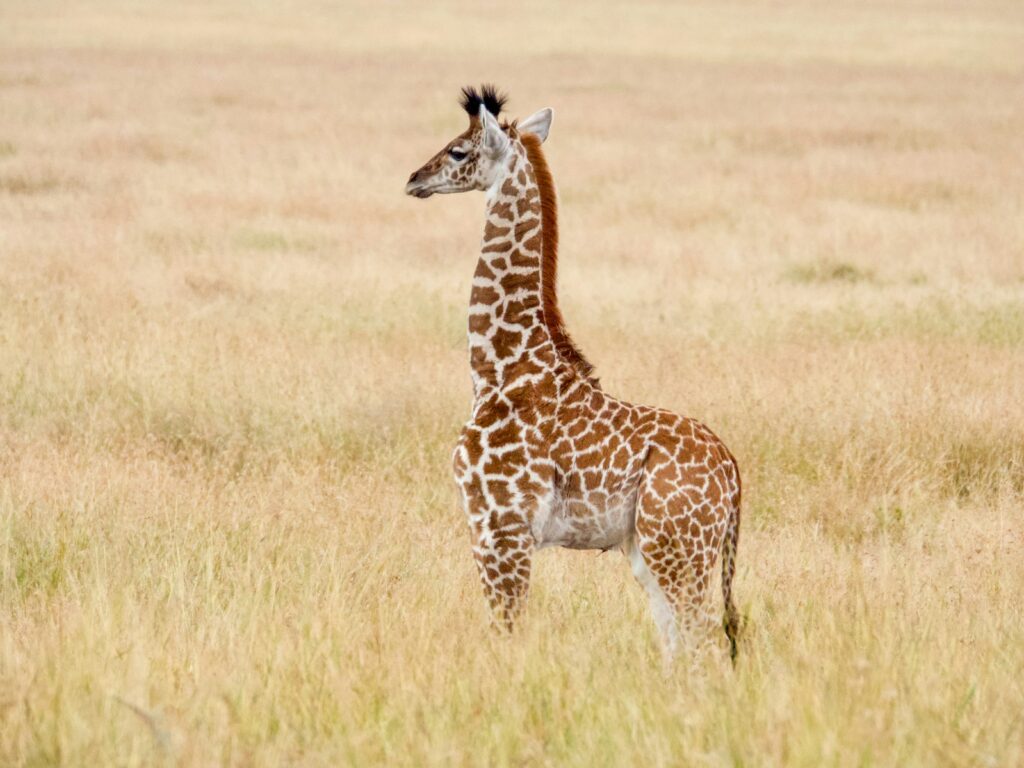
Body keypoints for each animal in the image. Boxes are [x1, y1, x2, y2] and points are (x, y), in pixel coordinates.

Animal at [405, 86, 742, 661]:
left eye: (457, 150)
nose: (413, 179)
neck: (500, 367)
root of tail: (733, 472)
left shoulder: (500, 527)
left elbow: (506, 631)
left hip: (679, 549)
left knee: (702, 644)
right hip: (652, 552)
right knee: (677, 644)